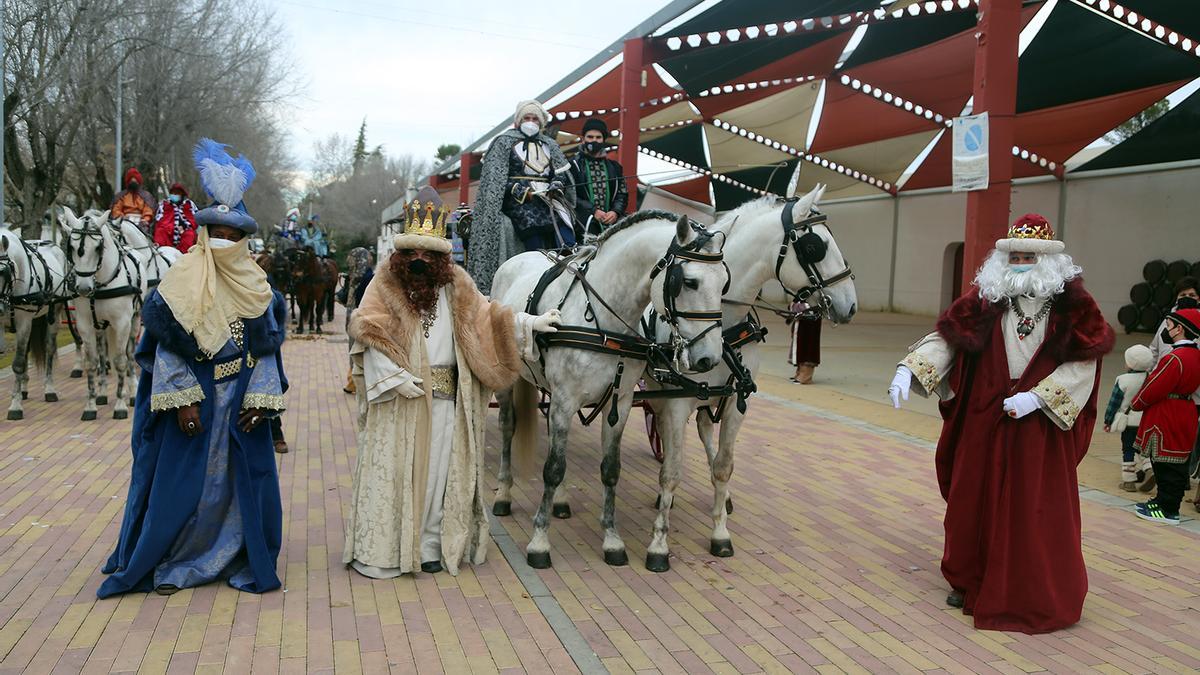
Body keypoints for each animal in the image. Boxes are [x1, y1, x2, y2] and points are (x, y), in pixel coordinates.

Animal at [0, 225, 69, 415]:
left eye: (3, 272)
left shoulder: (24, 321)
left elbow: (17, 363)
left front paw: (15, 406)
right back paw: (23, 389)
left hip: (54, 314)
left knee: (49, 349)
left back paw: (49, 390)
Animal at [60, 205, 147, 417]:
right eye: (71, 248)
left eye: (98, 247)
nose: (83, 288)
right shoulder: (84, 323)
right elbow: (92, 362)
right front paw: (90, 405)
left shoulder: (122, 322)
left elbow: (120, 360)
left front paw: (121, 404)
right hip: (100, 327)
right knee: (101, 354)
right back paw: (102, 392)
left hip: (134, 320)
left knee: (129, 353)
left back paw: (132, 392)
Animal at [489, 211, 729, 566]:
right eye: (689, 282)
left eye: (724, 282)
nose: (709, 358)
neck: (603, 322)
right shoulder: (564, 400)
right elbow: (553, 468)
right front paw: (539, 542)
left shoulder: (621, 402)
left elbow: (610, 469)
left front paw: (612, 540)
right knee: (508, 428)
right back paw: (504, 494)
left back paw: (560, 502)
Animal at [643, 183, 859, 566]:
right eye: (815, 246)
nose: (850, 304)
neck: (721, 328)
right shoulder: (676, 401)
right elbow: (671, 473)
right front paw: (659, 545)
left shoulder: (735, 402)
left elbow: (724, 466)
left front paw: (720, 532)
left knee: (704, 430)